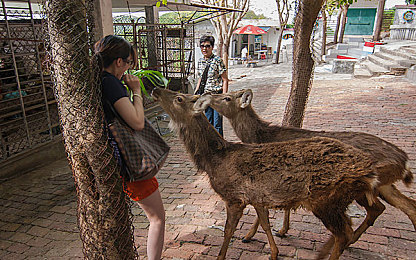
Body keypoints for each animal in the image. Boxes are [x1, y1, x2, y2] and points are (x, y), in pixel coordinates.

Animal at [153, 87, 386, 260]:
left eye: (179, 98)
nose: (155, 89)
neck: (213, 161)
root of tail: (369, 172)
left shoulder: (234, 197)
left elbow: (228, 231)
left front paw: (221, 255)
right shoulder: (257, 197)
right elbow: (264, 223)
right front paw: (273, 251)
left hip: (326, 200)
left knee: (344, 232)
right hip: (338, 201)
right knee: (349, 227)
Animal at [199, 88, 416, 243]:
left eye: (227, 98)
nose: (207, 94)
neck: (262, 137)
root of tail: (404, 161)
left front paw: (249, 235)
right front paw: (282, 230)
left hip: (365, 186)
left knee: (377, 208)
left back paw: (350, 239)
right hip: (384, 184)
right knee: (403, 206)